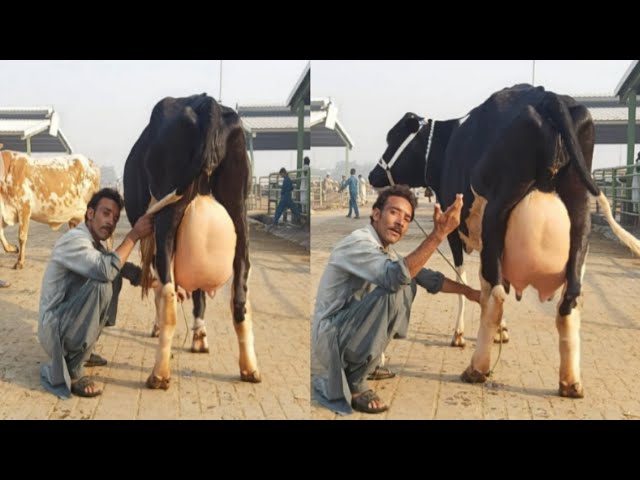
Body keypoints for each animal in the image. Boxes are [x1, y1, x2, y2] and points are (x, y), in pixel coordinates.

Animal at [124, 94, 258, 390]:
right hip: (239, 211)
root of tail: (208, 103)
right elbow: (198, 291)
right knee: (240, 296)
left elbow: (158, 288)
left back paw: (159, 375)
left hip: (167, 217)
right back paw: (250, 368)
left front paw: (158, 328)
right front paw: (200, 336)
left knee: (168, 294)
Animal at [370, 83, 640, 398]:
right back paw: (571, 382)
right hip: (579, 216)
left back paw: (477, 368)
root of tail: (547, 96)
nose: (373, 175)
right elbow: (490, 283)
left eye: (394, 137)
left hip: (497, 212)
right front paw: (501, 331)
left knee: (498, 295)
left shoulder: (455, 231)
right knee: (569, 299)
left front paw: (460, 334)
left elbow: (467, 279)